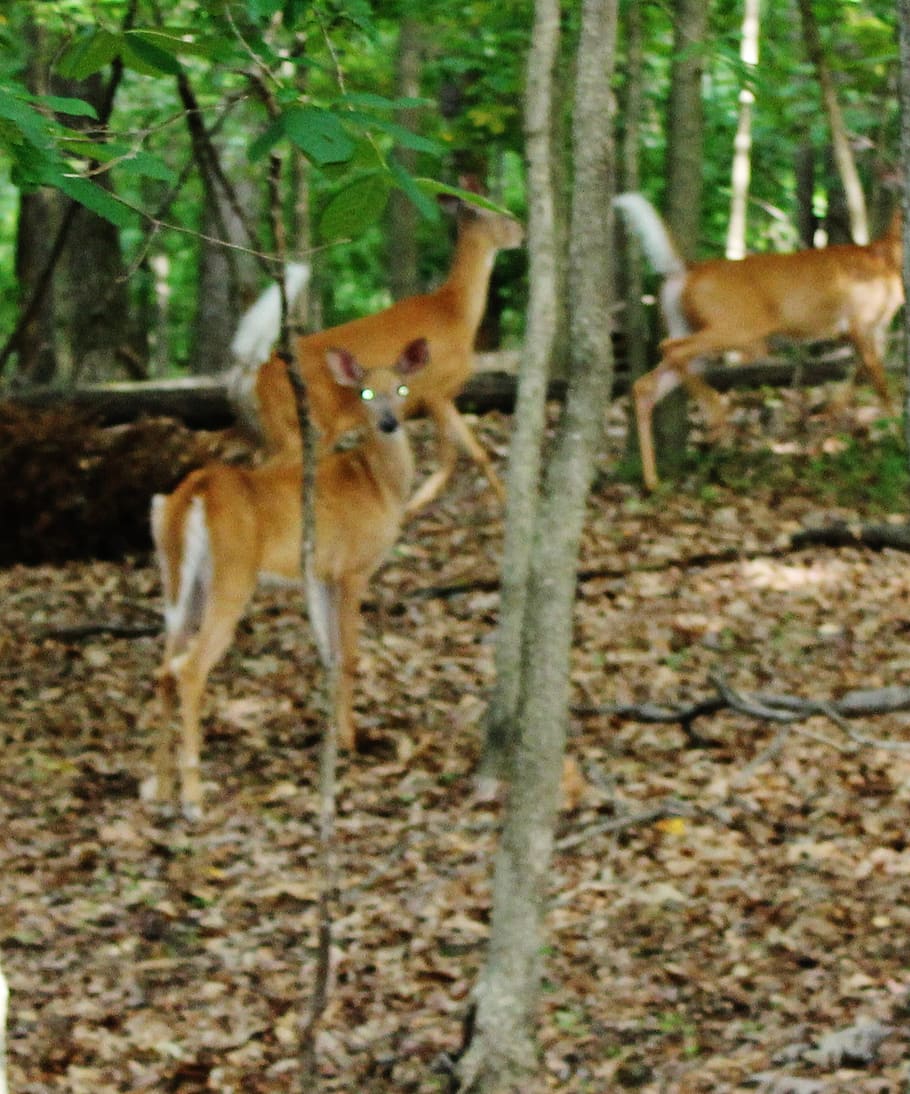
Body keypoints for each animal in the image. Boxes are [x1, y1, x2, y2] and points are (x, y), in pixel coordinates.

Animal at [148, 339, 430, 820]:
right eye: (365, 393)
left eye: (402, 388)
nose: (389, 423)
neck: (379, 485)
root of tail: (198, 490)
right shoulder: (352, 568)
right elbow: (349, 655)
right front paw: (350, 741)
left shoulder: (318, 574)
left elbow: (328, 654)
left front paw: (333, 735)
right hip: (232, 575)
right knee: (188, 669)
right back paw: (193, 798)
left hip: (178, 581)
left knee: (164, 666)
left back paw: (161, 788)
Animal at [238, 188, 524, 513]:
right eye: (498, 213)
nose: (523, 231)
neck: (456, 312)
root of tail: (256, 376)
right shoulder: (435, 389)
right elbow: (448, 459)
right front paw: (414, 503)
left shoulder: (446, 394)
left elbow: (478, 452)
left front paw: (507, 503)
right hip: (307, 428)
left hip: (279, 431)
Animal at [614, 192, 904, 491]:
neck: (887, 259)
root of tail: (686, 271)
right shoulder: (861, 324)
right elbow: (880, 385)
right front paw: (899, 442)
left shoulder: (874, 331)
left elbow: (859, 376)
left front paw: (830, 417)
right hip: (739, 328)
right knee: (668, 348)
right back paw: (715, 415)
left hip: (697, 331)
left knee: (645, 384)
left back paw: (652, 481)